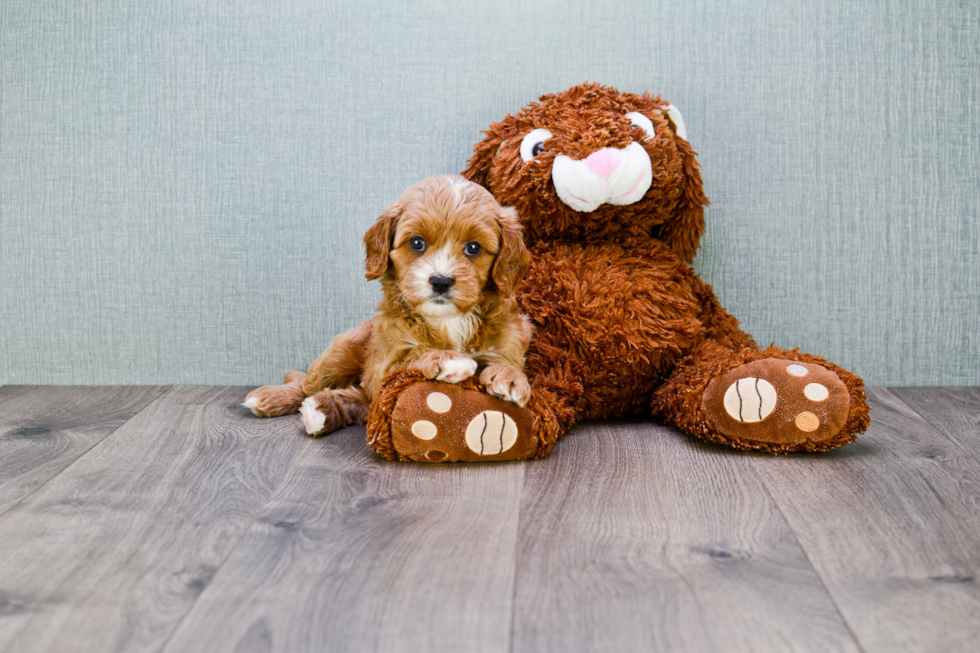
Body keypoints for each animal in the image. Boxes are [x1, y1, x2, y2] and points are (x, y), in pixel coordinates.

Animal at [249, 176, 532, 436]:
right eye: (417, 243)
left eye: (473, 248)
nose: (441, 281)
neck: (447, 319)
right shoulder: (383, 366)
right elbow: (412, 353)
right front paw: (447, 359)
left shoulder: (507, 341)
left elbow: (505, 361)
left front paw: (510, 377)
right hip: (343, 349)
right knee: (309, 384)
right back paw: (271, 397)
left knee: (359, 399)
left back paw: (321, 411)